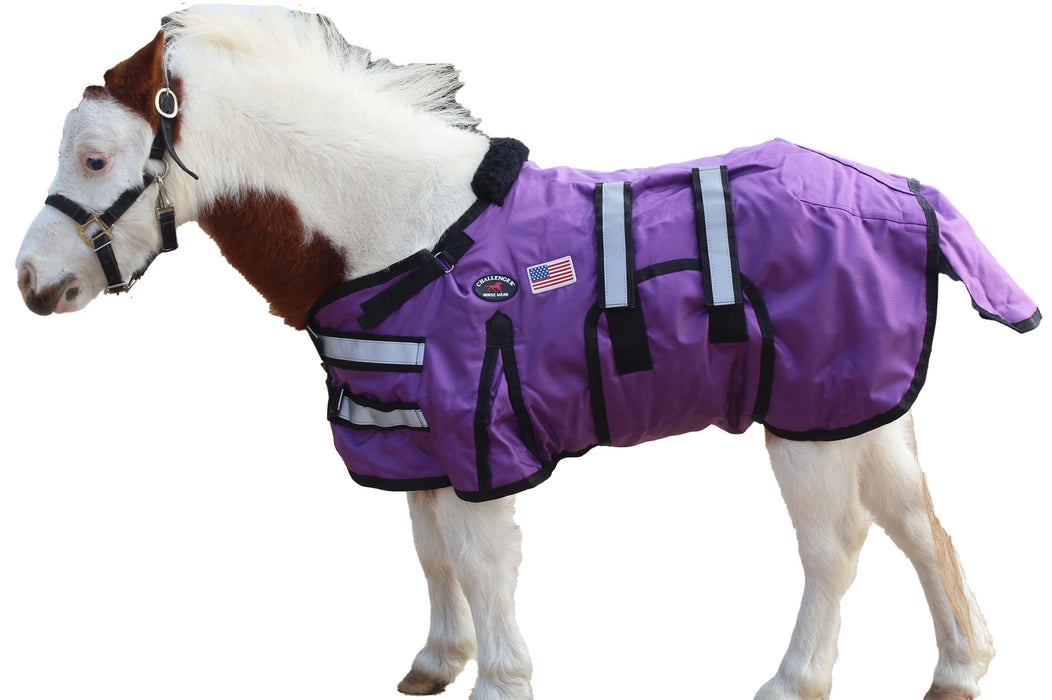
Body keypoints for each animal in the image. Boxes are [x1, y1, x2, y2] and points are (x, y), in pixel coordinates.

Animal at [13, 6, 1043, 700]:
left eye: (96, 159)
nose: (30, 281)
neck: (400, 232)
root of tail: (904, 193)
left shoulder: (482, 434)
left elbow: (481, 564)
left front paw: (501, 679)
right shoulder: (412, 436)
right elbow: (430, 556)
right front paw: (437, 660)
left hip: (807, 422)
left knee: (836, 548)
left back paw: (794, 679)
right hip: (858, 409)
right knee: (919, 525)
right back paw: (959, 666)